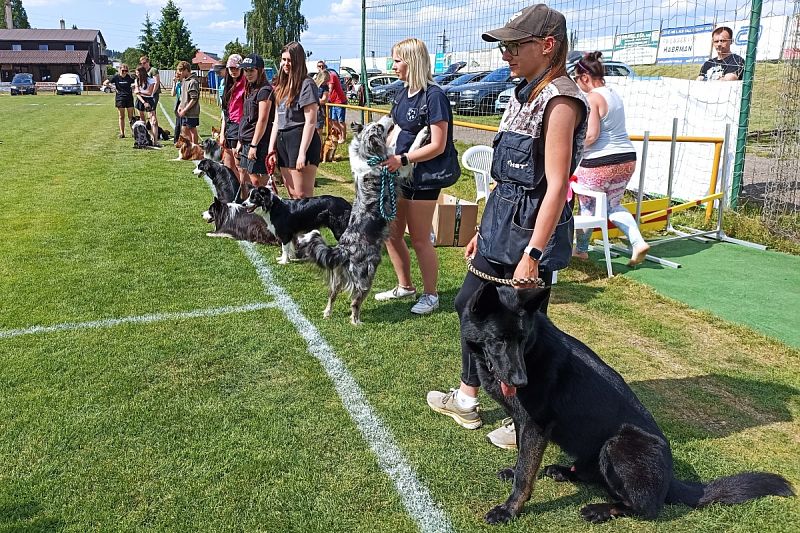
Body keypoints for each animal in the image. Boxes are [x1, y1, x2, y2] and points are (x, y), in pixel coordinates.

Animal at [456, 282, 792, 524]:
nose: (521, 381)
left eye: (523, 339)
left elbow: (526, 475)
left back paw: (602, 510)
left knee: (647, 509)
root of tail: (671, 479)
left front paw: (510, 510)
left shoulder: (536, 427)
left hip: (617, 445)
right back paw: (564, 471)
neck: (531, 351)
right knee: (593, 475)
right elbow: (523, 460)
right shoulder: (523, 423)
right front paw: (514, 472)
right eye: (499, 340)